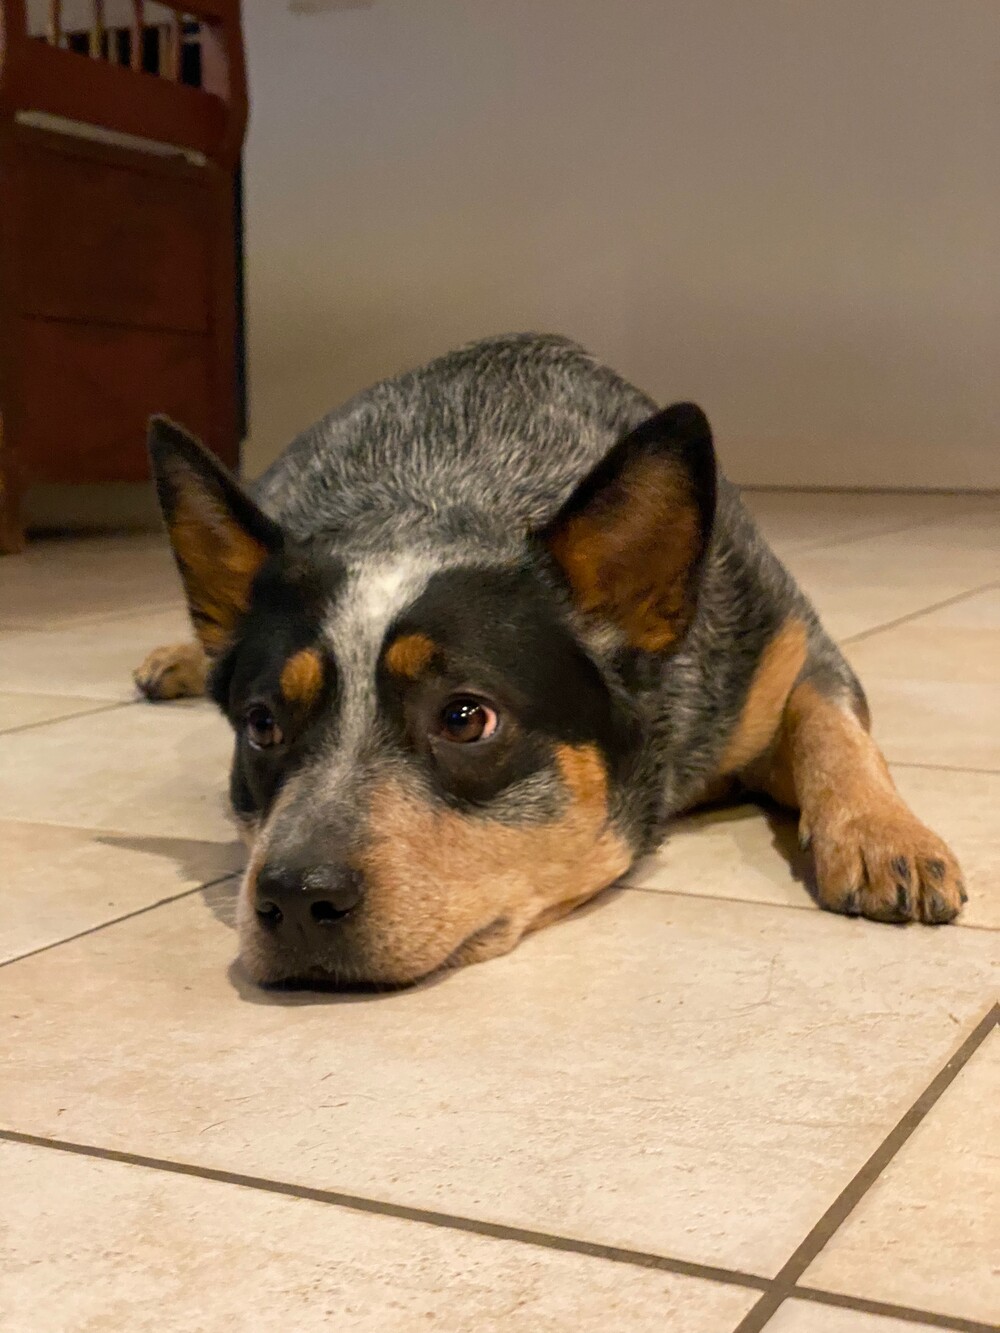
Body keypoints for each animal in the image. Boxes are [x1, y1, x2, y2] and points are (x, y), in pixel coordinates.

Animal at [135, 333, 966, 987]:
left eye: (465, 718)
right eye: (262, 725)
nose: (296, 896)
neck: (450, 489)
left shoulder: (788, 646)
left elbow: (831, 724)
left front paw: (884, 834)